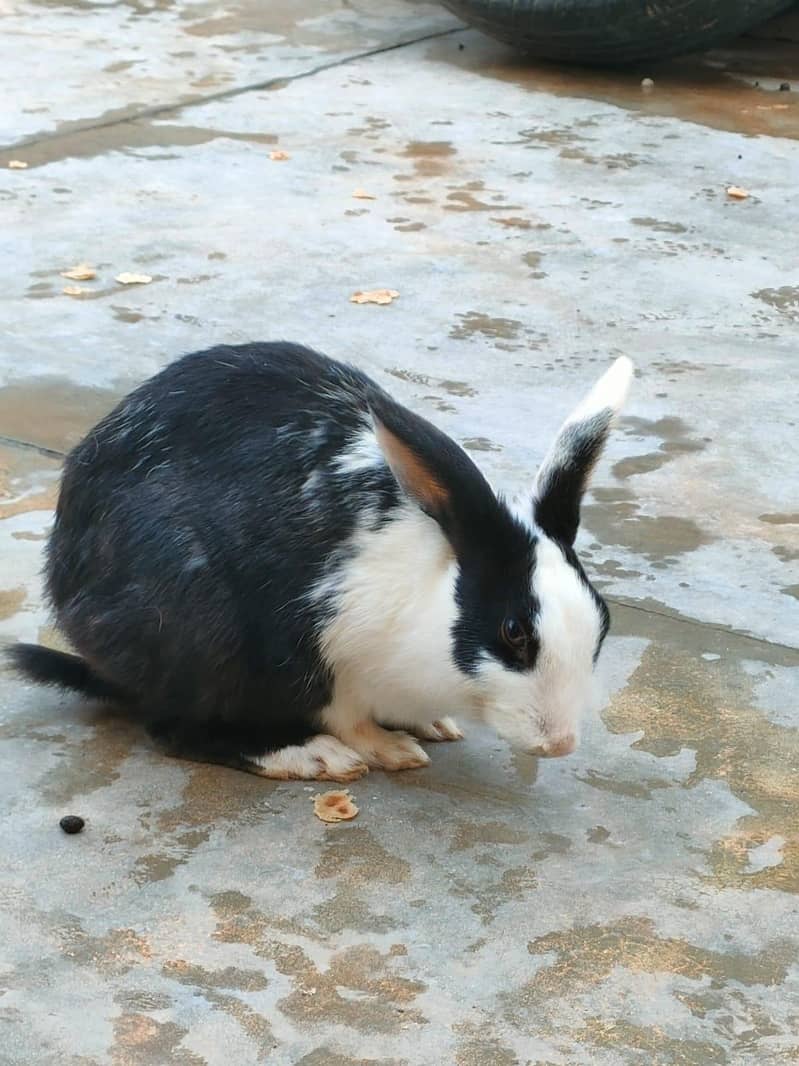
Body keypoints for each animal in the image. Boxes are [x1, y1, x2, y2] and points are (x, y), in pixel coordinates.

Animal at [8, 341, 633, 782]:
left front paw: (429, 724)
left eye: (604, 620)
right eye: (514, 631)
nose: (559, 744)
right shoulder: (324, 650)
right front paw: (385, 748)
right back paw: (307, 757)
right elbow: (345, 714)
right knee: (176, 728)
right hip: (194, 628)